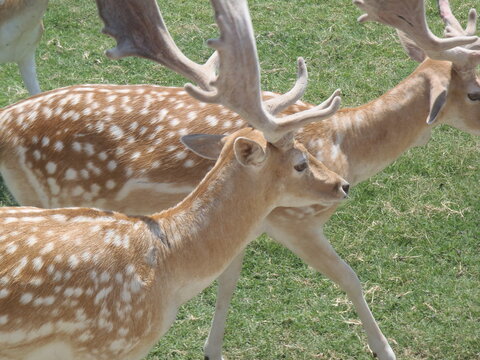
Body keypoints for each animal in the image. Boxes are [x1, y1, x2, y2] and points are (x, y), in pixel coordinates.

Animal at [0, 0, 478, 358]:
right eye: (475, 92)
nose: (342, 188)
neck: (346, 144)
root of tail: (6, 122)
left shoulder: (254, 226)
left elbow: (228, 280)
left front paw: (212, 349)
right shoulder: (294, 220)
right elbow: (349, 278)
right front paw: (386, 349)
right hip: (49, 194)